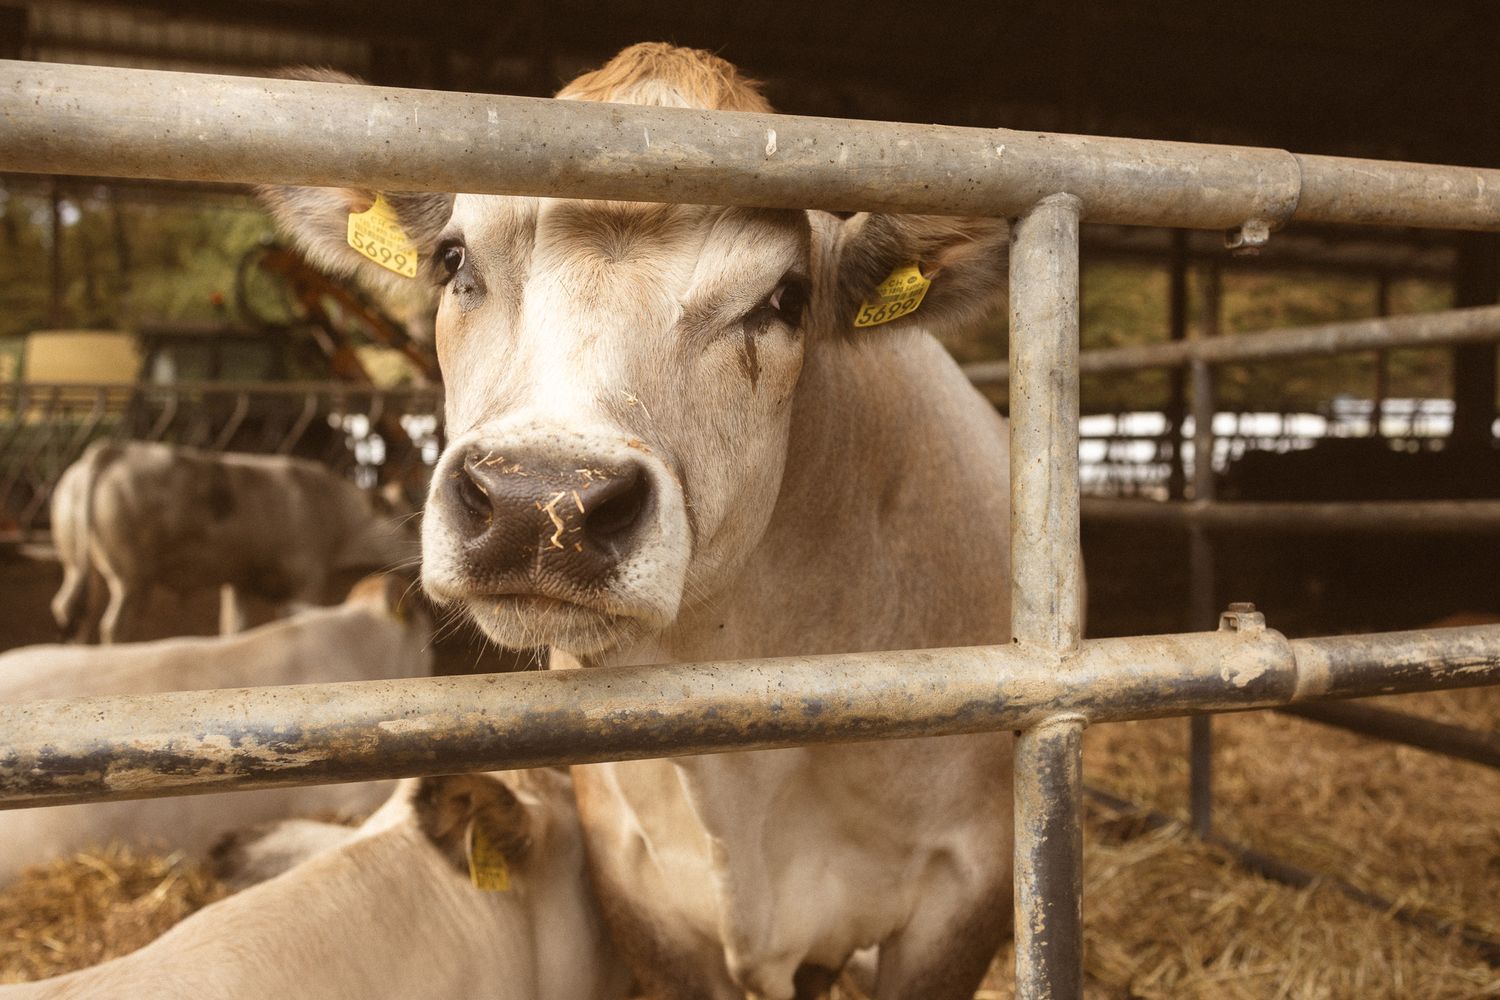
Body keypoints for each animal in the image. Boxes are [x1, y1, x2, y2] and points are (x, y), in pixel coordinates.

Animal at [50, 440, 415, 644]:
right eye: (410, 525)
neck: (329, 506)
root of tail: (111, 451)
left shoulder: (239, 580)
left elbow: (234, 626)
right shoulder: (306, 579)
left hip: (79, 569)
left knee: (71, 611)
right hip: (131, 578)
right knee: (113, 626)